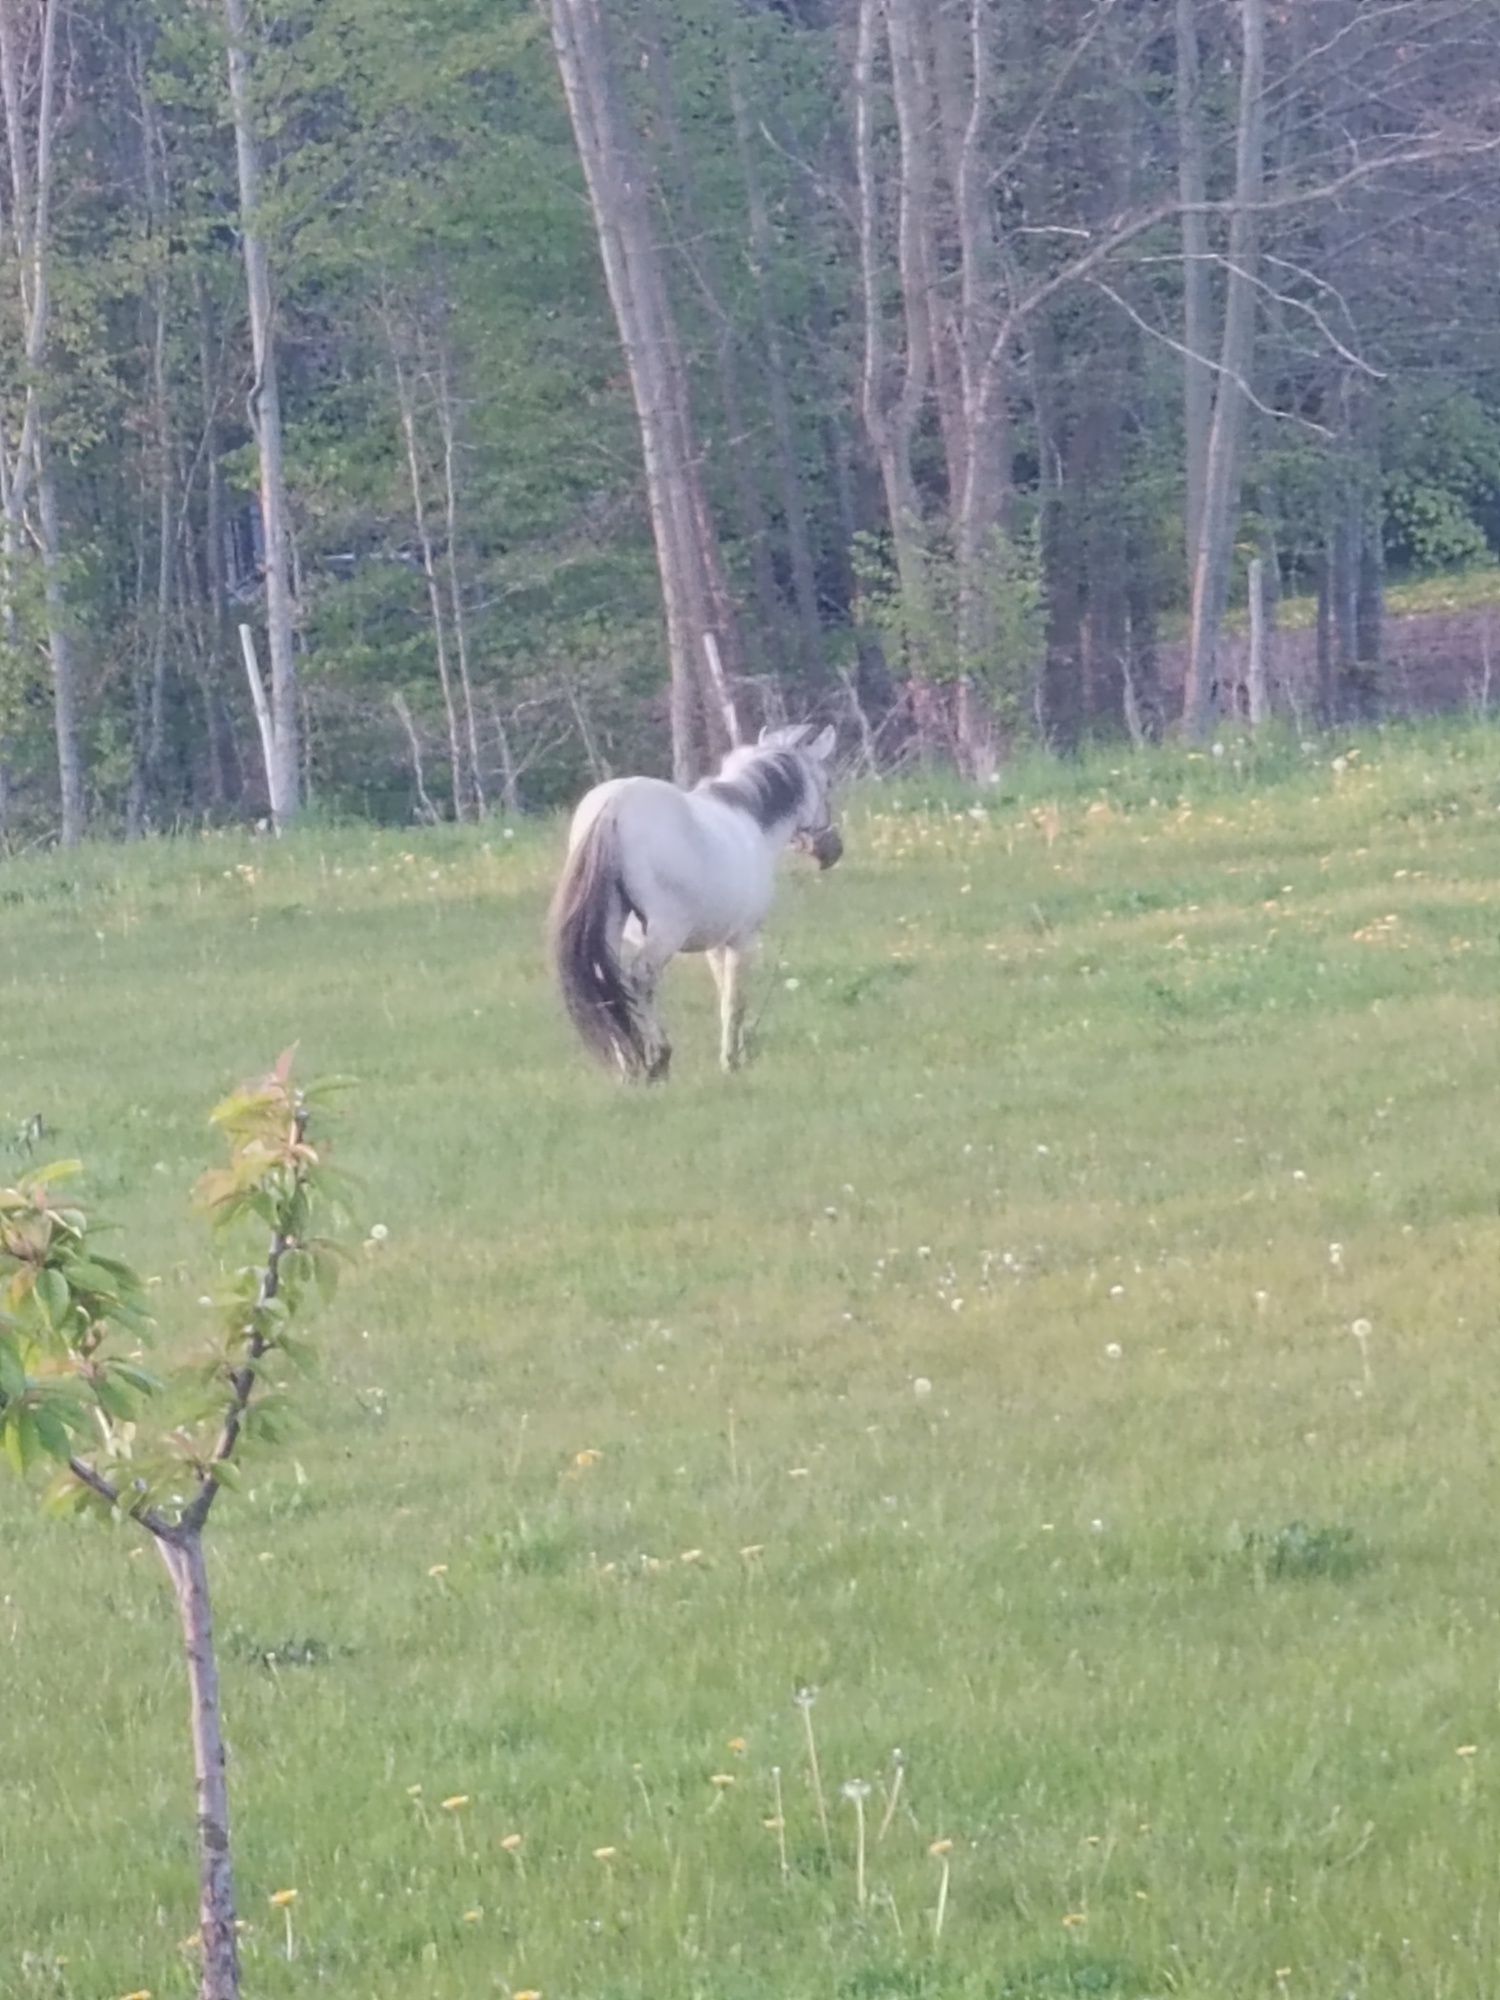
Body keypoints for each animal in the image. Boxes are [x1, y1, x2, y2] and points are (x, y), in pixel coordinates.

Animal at [548, 724, 840, 1080]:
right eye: (827, 782)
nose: (833, 850)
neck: (750, 820)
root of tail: (614, 806)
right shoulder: (742, 939)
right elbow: (735, 1001)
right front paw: (732, 1061)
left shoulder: (714, 944)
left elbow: (724, 994)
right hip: (665, 933)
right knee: (640, 979)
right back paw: (657, 1058)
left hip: (610, 926)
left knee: (609, 982)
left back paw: (627, 1066)